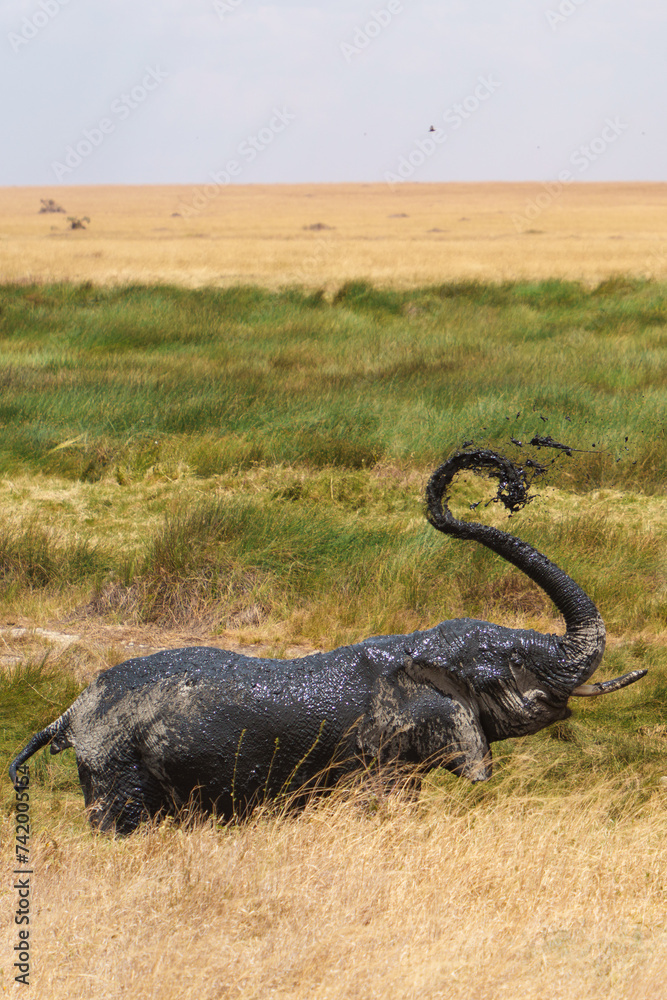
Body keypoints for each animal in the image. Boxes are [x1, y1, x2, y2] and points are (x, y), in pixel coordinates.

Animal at [9, 449, 646, 834]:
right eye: (506, 668)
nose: (505, 479)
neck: (414, 650)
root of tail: (67, 713)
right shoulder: (372, 751)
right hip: (116, 763)